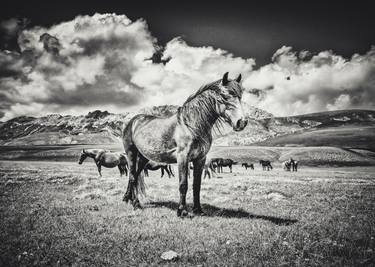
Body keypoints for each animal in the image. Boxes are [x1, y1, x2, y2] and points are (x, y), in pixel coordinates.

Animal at [122, 73, 248, 218]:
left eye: (240, 96)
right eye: (225, 96)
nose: (242, 122)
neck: (190, 125)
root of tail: (133, 121)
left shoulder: (200, 159)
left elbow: (196, 185)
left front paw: (198, 210)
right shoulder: (183, 157)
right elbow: (183, 184)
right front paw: (182, 211)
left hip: (143, 157)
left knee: (135, 176)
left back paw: (127, 198)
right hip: (131, 153)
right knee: (132, 177)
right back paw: (136, 203)